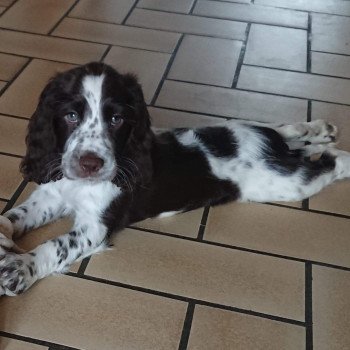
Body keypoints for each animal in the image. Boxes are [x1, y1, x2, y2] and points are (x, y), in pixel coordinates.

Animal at [0, 62, 348, 296]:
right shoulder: (50, 195)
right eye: (71, 116)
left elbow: (56, 245)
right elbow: (15, 216)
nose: (90, 164)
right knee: (287, 130)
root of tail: (268, 144)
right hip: (261, 135)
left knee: (328, 163)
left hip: (285, 182)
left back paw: (339, 153)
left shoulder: (94, 226)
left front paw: (20, 268)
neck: (77, 184)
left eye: (117, 119)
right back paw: (319, 129)